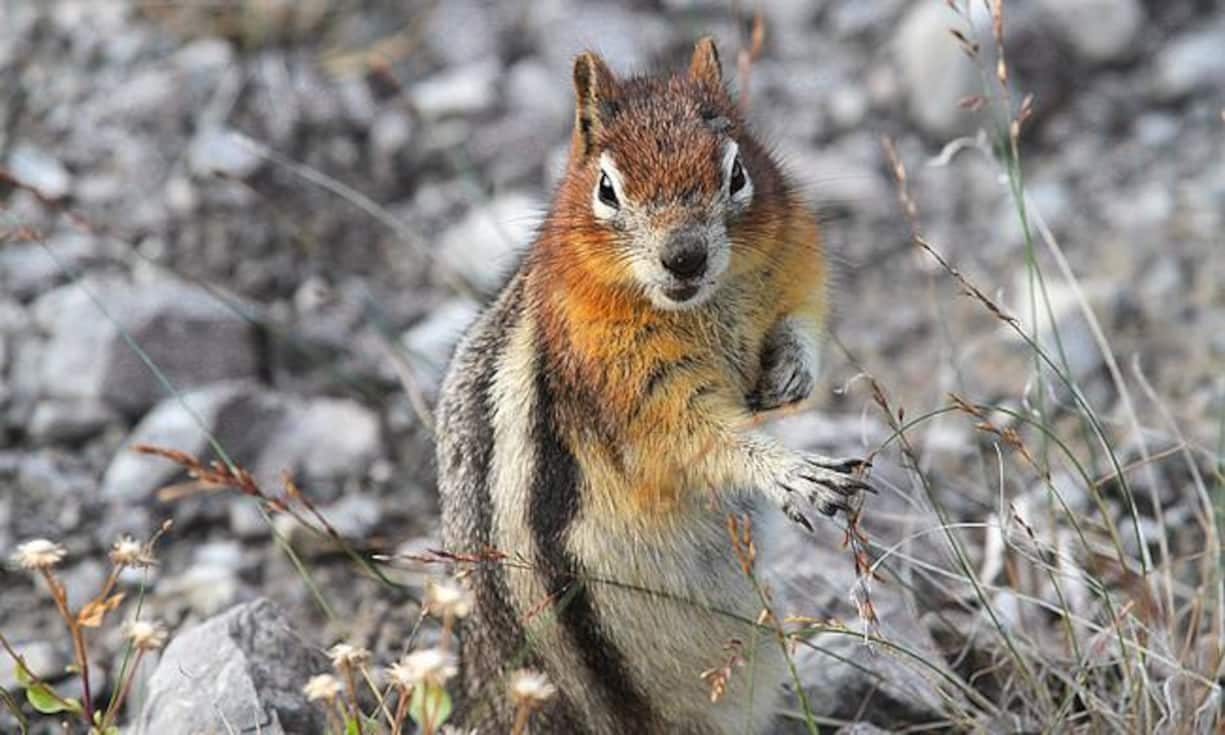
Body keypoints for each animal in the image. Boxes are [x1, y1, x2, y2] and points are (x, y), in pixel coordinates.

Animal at [435, 37, 870, 734]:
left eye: (737, 173)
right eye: (607, 188)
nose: (684, 256)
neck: (704, 304)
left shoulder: (795, 258)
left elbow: (801, 320)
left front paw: (792, 370)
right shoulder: (630, 385)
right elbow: (702, 441)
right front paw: (796, 474)